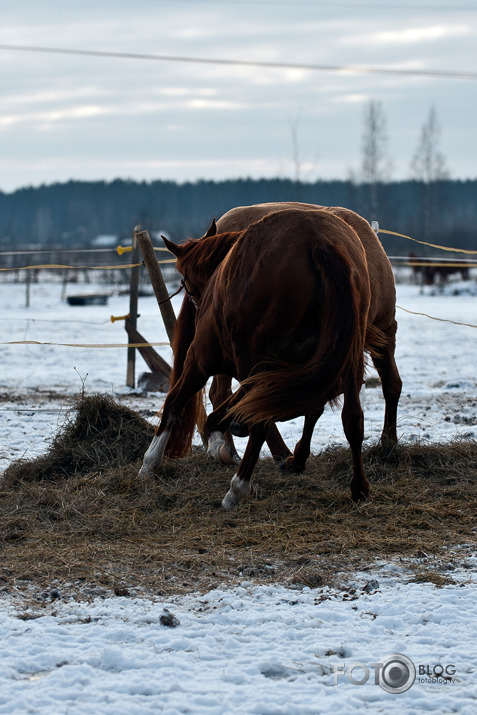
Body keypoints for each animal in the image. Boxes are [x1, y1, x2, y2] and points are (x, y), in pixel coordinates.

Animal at [138, 207, 390, 510]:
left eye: (185, 281)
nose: (197, 305)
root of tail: (320, 243)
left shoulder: (201, 360)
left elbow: (175, 402)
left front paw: (150, 462)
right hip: (345, 360)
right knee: (352, 418)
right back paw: (358, 487)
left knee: (259, 421)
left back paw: (237, 488)